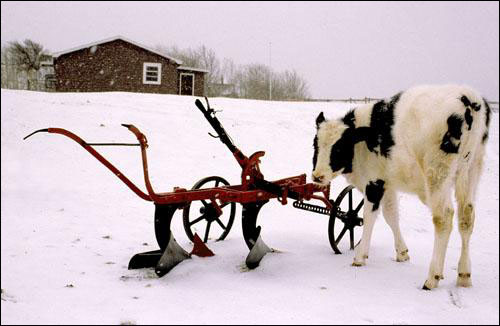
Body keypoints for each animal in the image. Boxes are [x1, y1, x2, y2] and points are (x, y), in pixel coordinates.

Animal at [312, 85, 492, 290]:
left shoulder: (373, 183)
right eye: (316, 145)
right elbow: (391, 215)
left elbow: (369, 217)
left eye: (339, 147)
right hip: (471, 171)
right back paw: (464, 275)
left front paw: (360, 256)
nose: (317, 176)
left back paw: (432, 277)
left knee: (444, 218)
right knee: (466, 217)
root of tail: (469, 98)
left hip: (438, 174)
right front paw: (402, 252)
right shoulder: (387, 183)